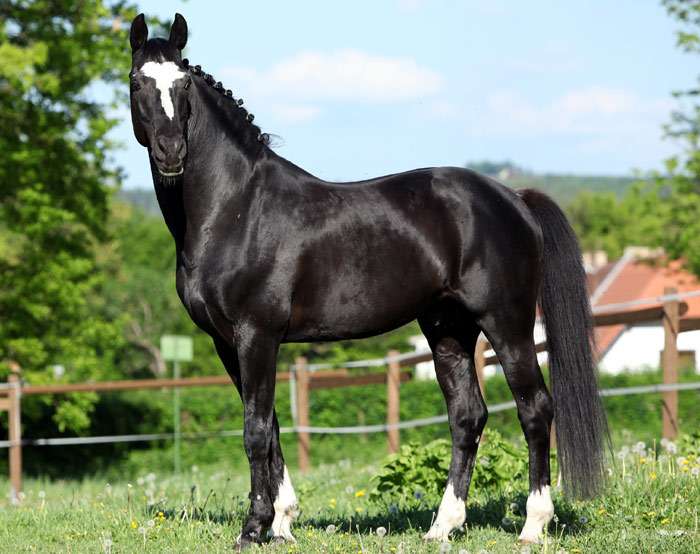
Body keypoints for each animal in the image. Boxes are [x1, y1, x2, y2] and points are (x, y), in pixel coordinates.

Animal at [130, 14, 608, 548]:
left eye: (183, 84)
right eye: (137, 82)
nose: (172, 152)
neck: (237, 208)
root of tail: (514, 198)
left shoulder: (256, 335)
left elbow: (254, 430)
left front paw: (254, 528)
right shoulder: (227, 342)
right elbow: (271, 427)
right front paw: (283, 521)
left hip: (508, 323)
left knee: (535, 409)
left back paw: (533, 525)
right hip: (448, 328)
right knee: (467, 416)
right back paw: (442, 527)